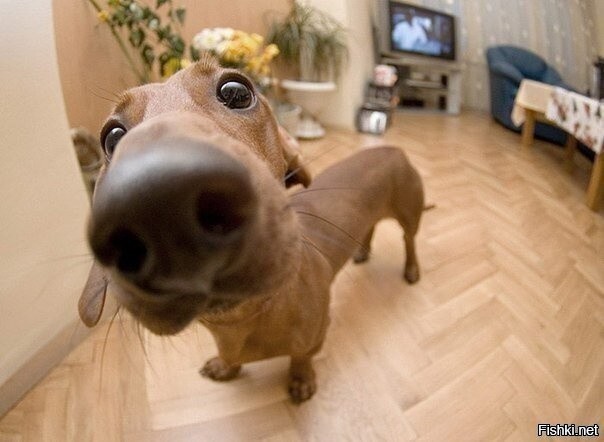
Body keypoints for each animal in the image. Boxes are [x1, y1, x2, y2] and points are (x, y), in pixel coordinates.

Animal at [79, 53, 426, 403]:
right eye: (112, 137)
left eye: (237, 92)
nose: (159, 200)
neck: (244, 317)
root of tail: (392, 148)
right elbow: (232, 359)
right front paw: (226, 366)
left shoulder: (317, 333)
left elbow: (302, 356)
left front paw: (301, 379)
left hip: (409, 215)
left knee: (409, 241)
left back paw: (411, 270)